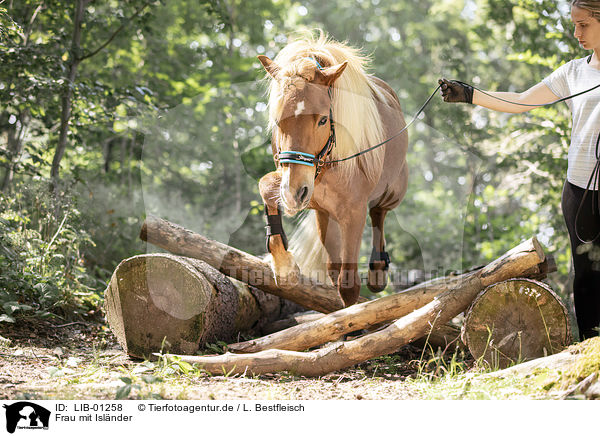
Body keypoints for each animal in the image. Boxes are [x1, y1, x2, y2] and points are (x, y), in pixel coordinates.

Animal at [258, 34, 408, 306]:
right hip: (324, 212)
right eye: (277, 120)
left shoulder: (354, 212)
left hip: (393, 190)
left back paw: (378, 270)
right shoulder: (305, 190)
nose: (294, 194)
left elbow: (348, 284)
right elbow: (265, 186)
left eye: (322, 120)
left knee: (379, 212)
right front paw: (284, 266)